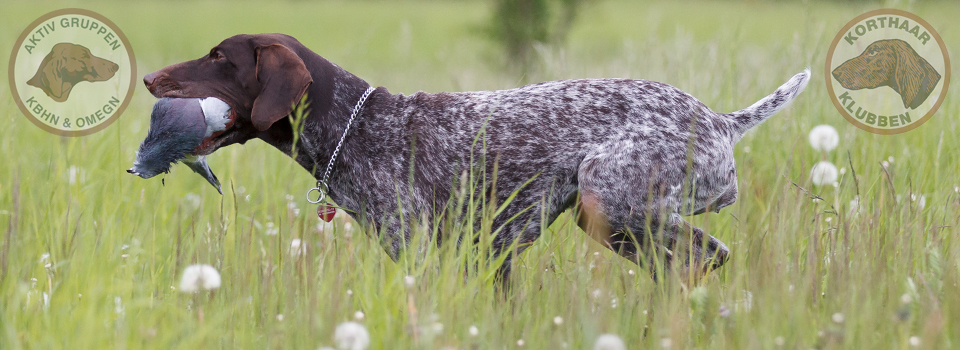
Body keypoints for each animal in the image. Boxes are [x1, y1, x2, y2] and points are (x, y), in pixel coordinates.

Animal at [139, 33, 808, 284]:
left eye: (220, 58)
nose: (147, 78)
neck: (357, 123)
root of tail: (722, 122)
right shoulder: (484, 260)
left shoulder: (423, 252)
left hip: (608, 200)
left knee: (706, 254)